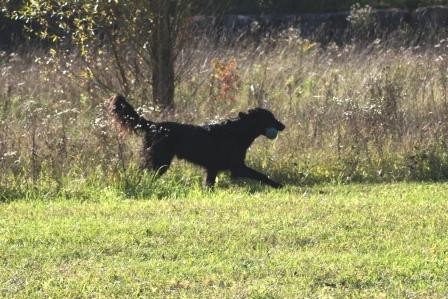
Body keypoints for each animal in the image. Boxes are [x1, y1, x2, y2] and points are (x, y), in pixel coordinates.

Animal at [107, 95, 288, 188]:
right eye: (269, 117)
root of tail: (154, 125)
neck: (237, 131)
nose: (283, 125)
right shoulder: (237, 167)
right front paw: (278, 185)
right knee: (143, 173)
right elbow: (261, 175)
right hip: (159, 161)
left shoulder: (212, 168)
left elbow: (209, 185)